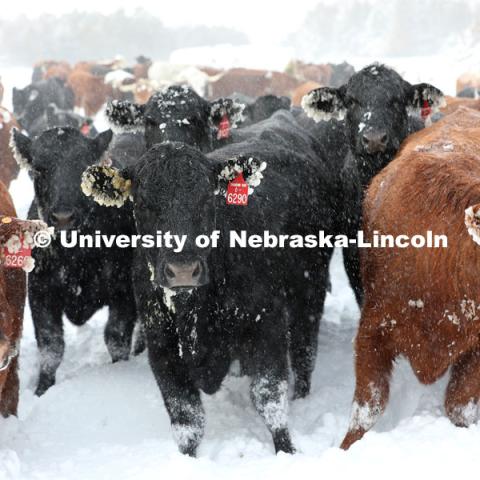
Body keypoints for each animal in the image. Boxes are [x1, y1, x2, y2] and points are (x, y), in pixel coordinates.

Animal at [10, 126, 137, 394]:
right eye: (39, 168)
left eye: (84, 167)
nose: (63, 217)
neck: (76, 256)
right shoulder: (41, 295)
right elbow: (51, 347)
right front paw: (42, 390)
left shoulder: (124, 294)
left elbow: (116, 337)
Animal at [80, 110, 340, 456]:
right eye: (144, 202)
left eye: (206, 198)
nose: (183, 270)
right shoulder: (162, 346)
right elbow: (186, 417)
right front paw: (187, 458)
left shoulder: (267, 327)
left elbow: (270, 399)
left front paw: (286, 451)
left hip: (309, 293)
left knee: (304, 354)